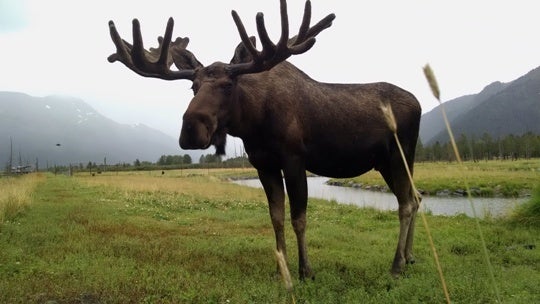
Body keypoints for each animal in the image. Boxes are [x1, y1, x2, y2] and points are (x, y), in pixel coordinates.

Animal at [108, 0, 422, 280]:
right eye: (193, 86)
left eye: (228, 85)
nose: (190, 130)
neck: (254, 124)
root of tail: (418, 103)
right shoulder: (263, 165)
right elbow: (276, 216)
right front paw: (281, 268)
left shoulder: (294, 158)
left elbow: (299, 217)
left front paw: (305, 271)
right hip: (384, 162)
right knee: (415, 197)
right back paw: (409, 257)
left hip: (401, 153)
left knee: (406, 203)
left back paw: (396, 264)